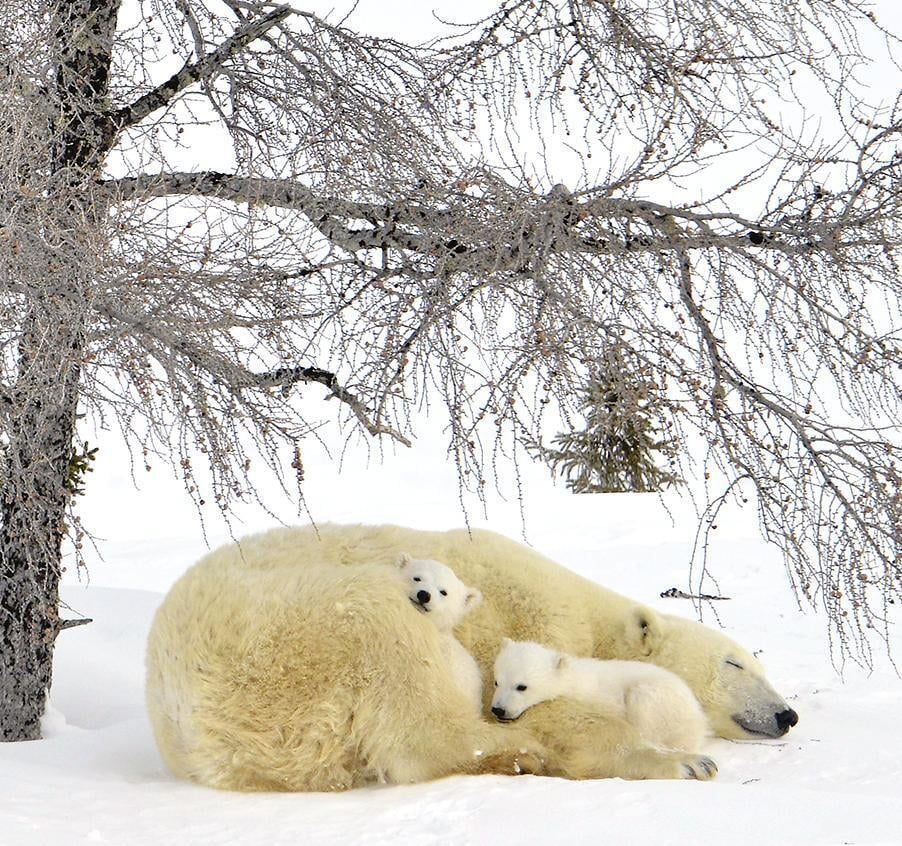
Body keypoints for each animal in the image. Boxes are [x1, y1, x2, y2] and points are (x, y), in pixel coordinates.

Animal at [492, 639, 715, 779]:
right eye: (497, 681)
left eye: (521, 686)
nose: (498, 709)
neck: (571, 681)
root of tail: (701, 719)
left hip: (660, 701)